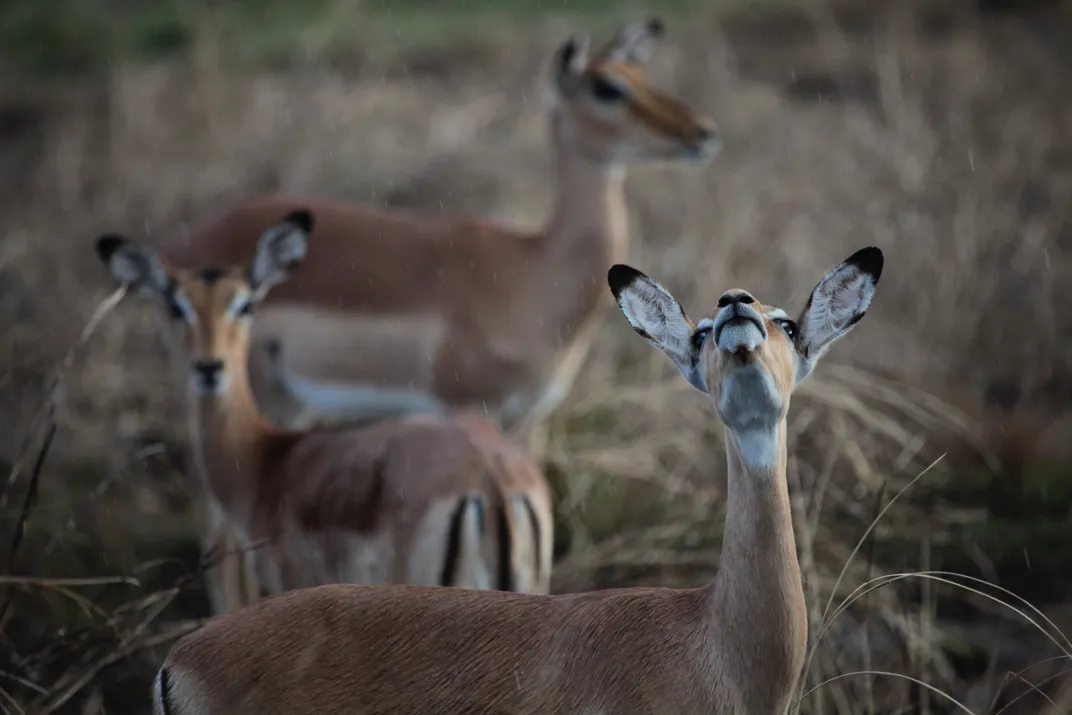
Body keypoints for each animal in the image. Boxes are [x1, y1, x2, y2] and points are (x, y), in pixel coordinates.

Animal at [156, 16, 720, 448]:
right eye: (608, 87)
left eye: (641, 73)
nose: (703, 132)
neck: (532, 270)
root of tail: (183, 244)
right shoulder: (468, 408)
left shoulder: (529, 417)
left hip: (287, 402)